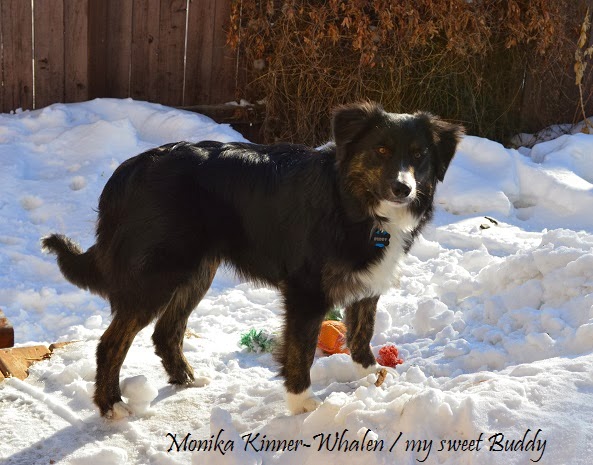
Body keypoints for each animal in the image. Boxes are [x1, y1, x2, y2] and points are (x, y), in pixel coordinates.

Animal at [42, 102, 463, 418]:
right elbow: (301, 349)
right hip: (158, 275)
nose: (402, 188)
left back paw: (186, 379)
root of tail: (129, 170)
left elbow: (362, 329)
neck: (351, 200)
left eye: (420, 155)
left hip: (198, 271)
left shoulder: (368, 280)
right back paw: (111, 404)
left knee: (166, 332)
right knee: (111, 343)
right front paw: (301, 403)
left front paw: (369, 373)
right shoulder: (306, 291)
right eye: (381, 151)